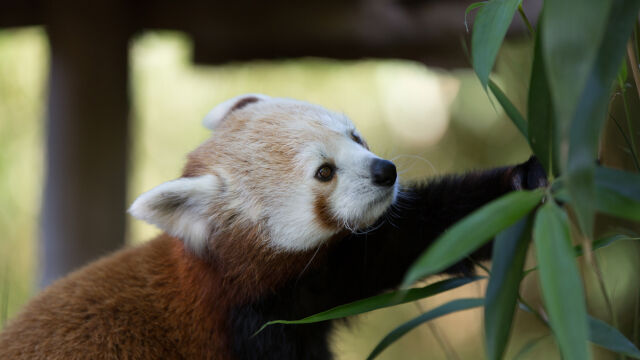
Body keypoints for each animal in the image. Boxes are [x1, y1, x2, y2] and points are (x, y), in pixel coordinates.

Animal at [0, 95, 544, 360]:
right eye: (324, 172)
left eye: (356, 137)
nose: (384, 171)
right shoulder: (254, 321)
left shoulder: (330, 279)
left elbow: (422, 233)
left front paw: (527, 181)